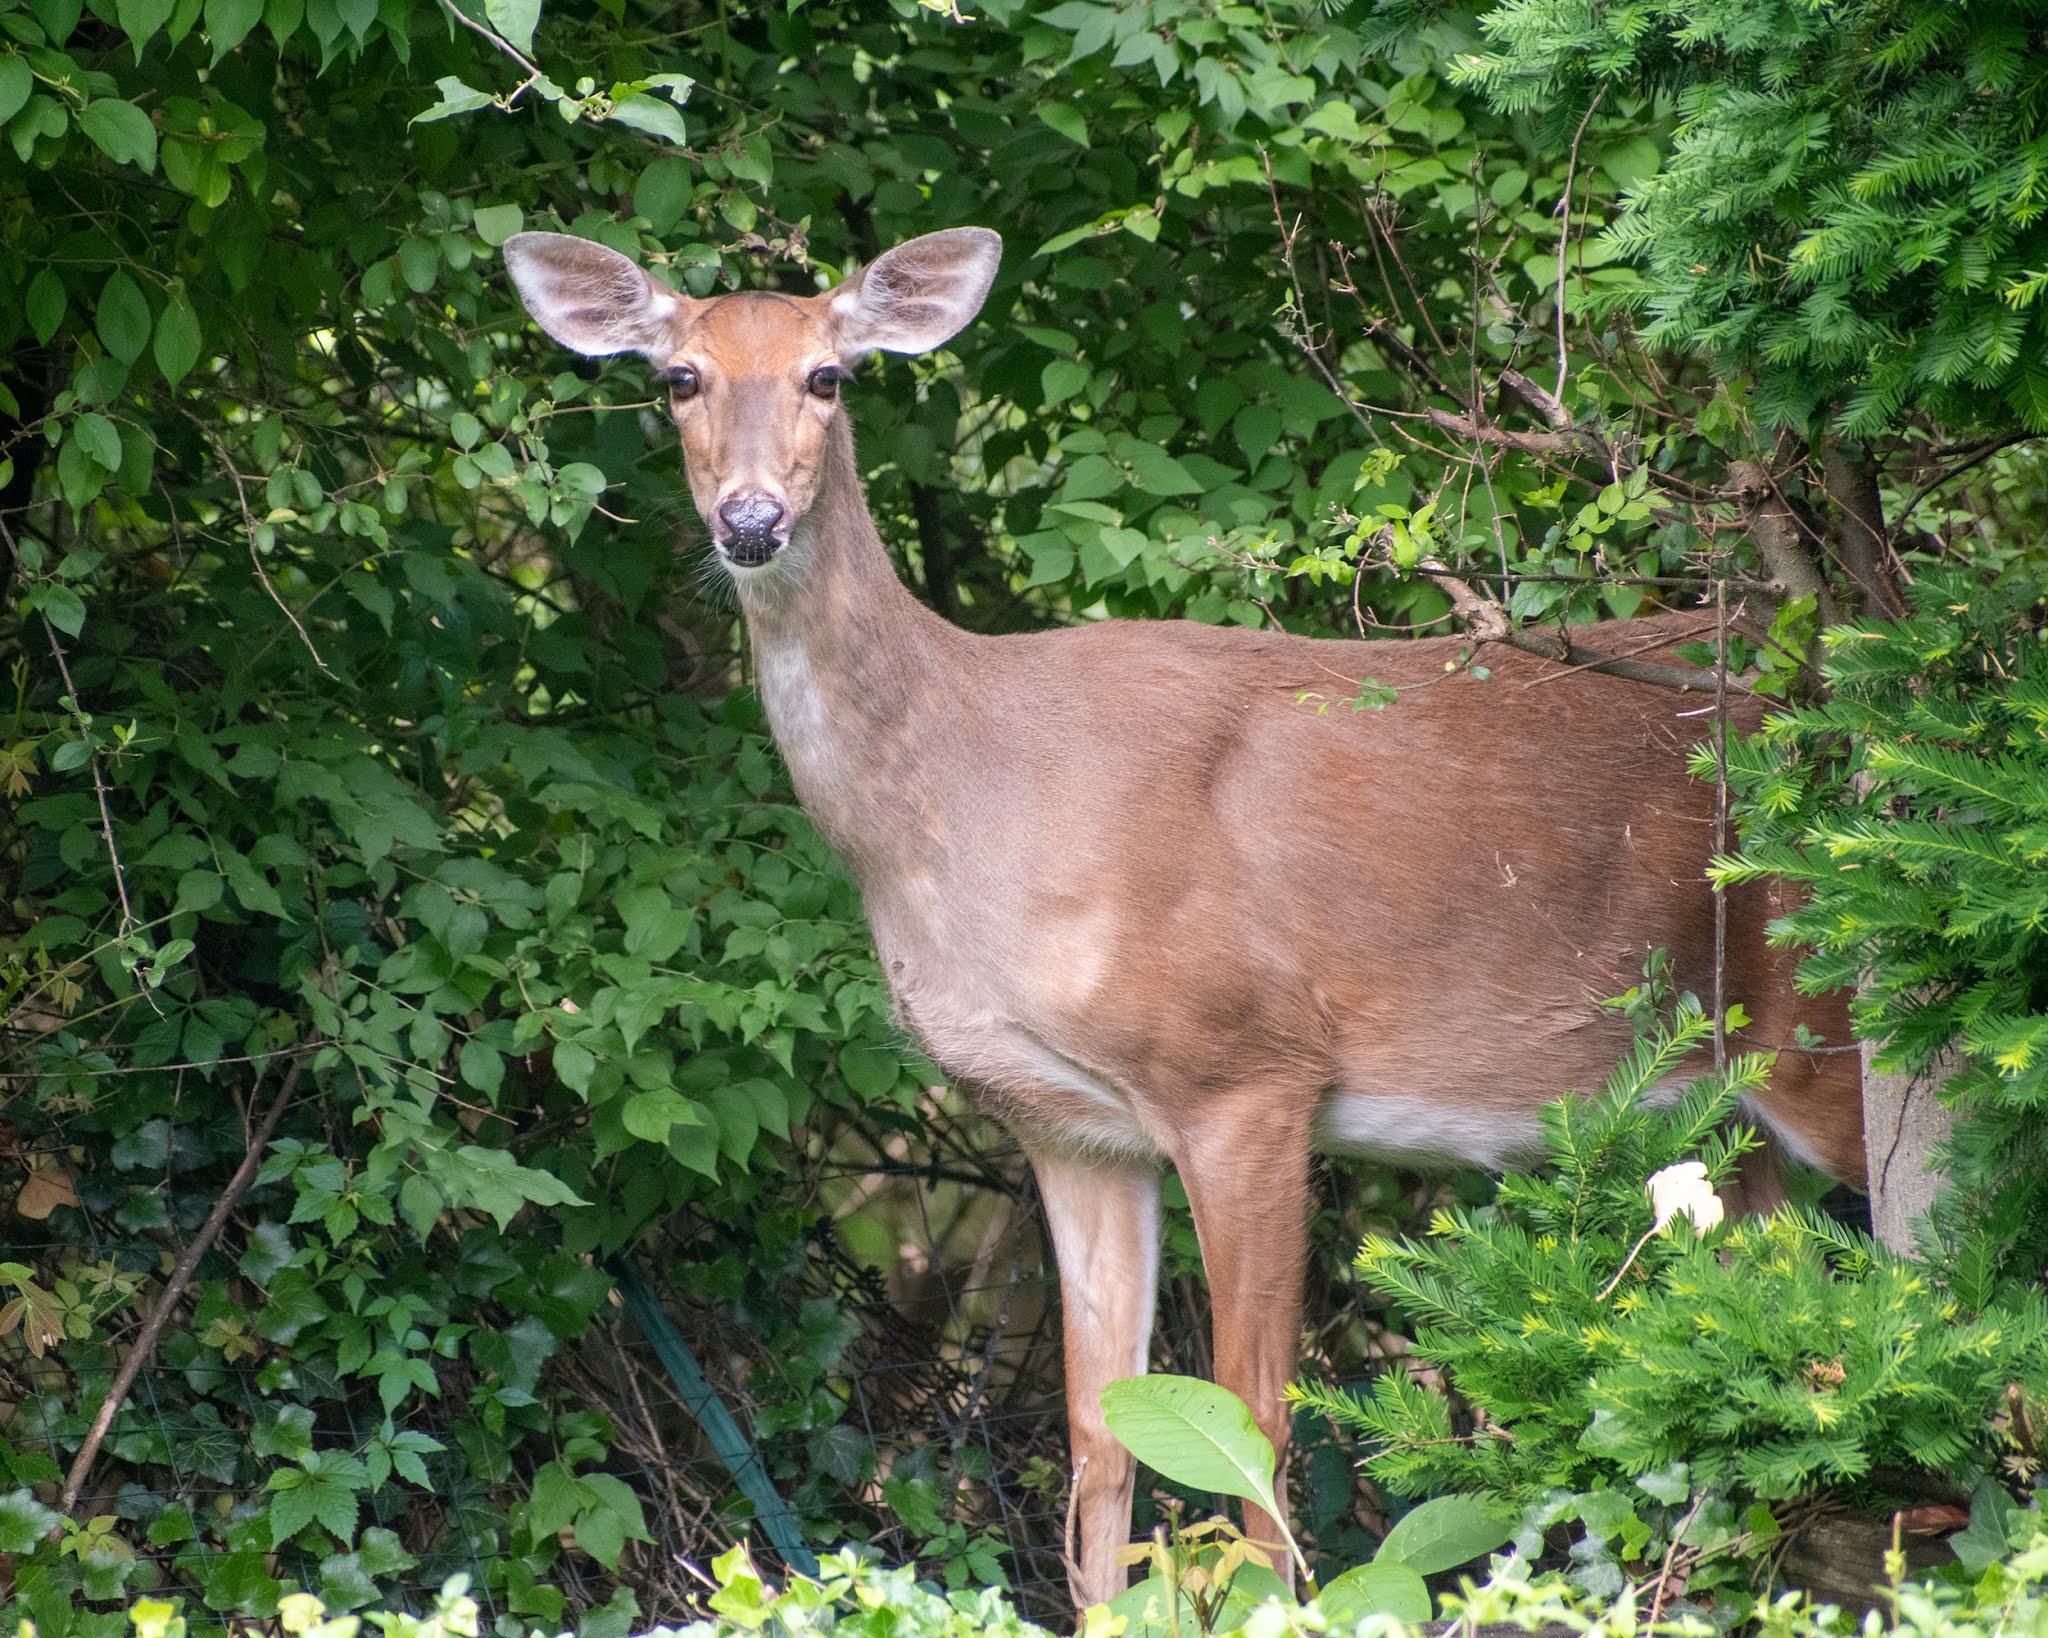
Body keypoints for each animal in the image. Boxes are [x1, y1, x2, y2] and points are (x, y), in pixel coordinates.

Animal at [501, 226, 1868, 1610]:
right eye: (677, 378)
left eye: (828, 376)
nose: (750, 521)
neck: (965, 801)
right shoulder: (1068, 1129)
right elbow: (1099, 1431)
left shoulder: (1245, 1071)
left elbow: (1248, 1425)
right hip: (1728, 1126)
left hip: (1831, 1034)